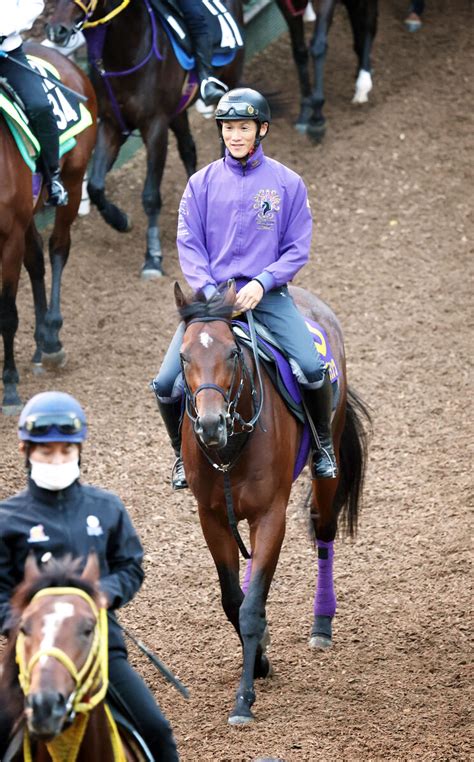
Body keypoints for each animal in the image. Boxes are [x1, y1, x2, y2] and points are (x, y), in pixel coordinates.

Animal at [0, 40, 97, 412]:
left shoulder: (8, 238)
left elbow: (8, 314)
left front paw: (10, 385)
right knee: (36, 260)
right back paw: (43, 342)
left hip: (71, 180)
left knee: (57, 248)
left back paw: (53, 338)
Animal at [46, 0, 244, 280]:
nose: (56, 31)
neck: (124, 56)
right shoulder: (111, 125)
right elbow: (95, 186)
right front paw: (120, 221)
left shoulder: (155, 126)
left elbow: (150, 195)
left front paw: (152, 257)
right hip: (178, 111)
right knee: (188, 148)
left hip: (230, 86)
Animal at [175, 282, 370, 720]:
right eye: (184, 356)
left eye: (232, 353)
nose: (210, 425)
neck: (231, 446)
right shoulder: (211, 518)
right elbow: (235, 602)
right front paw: (259, 658)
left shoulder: (270, 516)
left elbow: (249, 608)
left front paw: (244, 699)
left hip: (327, 460)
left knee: (323, 527)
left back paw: (321, 623)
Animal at [274, 0, 378, 141]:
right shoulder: (285, 5)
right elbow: (299, 51)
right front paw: (305, 111)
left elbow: (318, 46)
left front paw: (317, 120)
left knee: (369, 23)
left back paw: (363, 83)